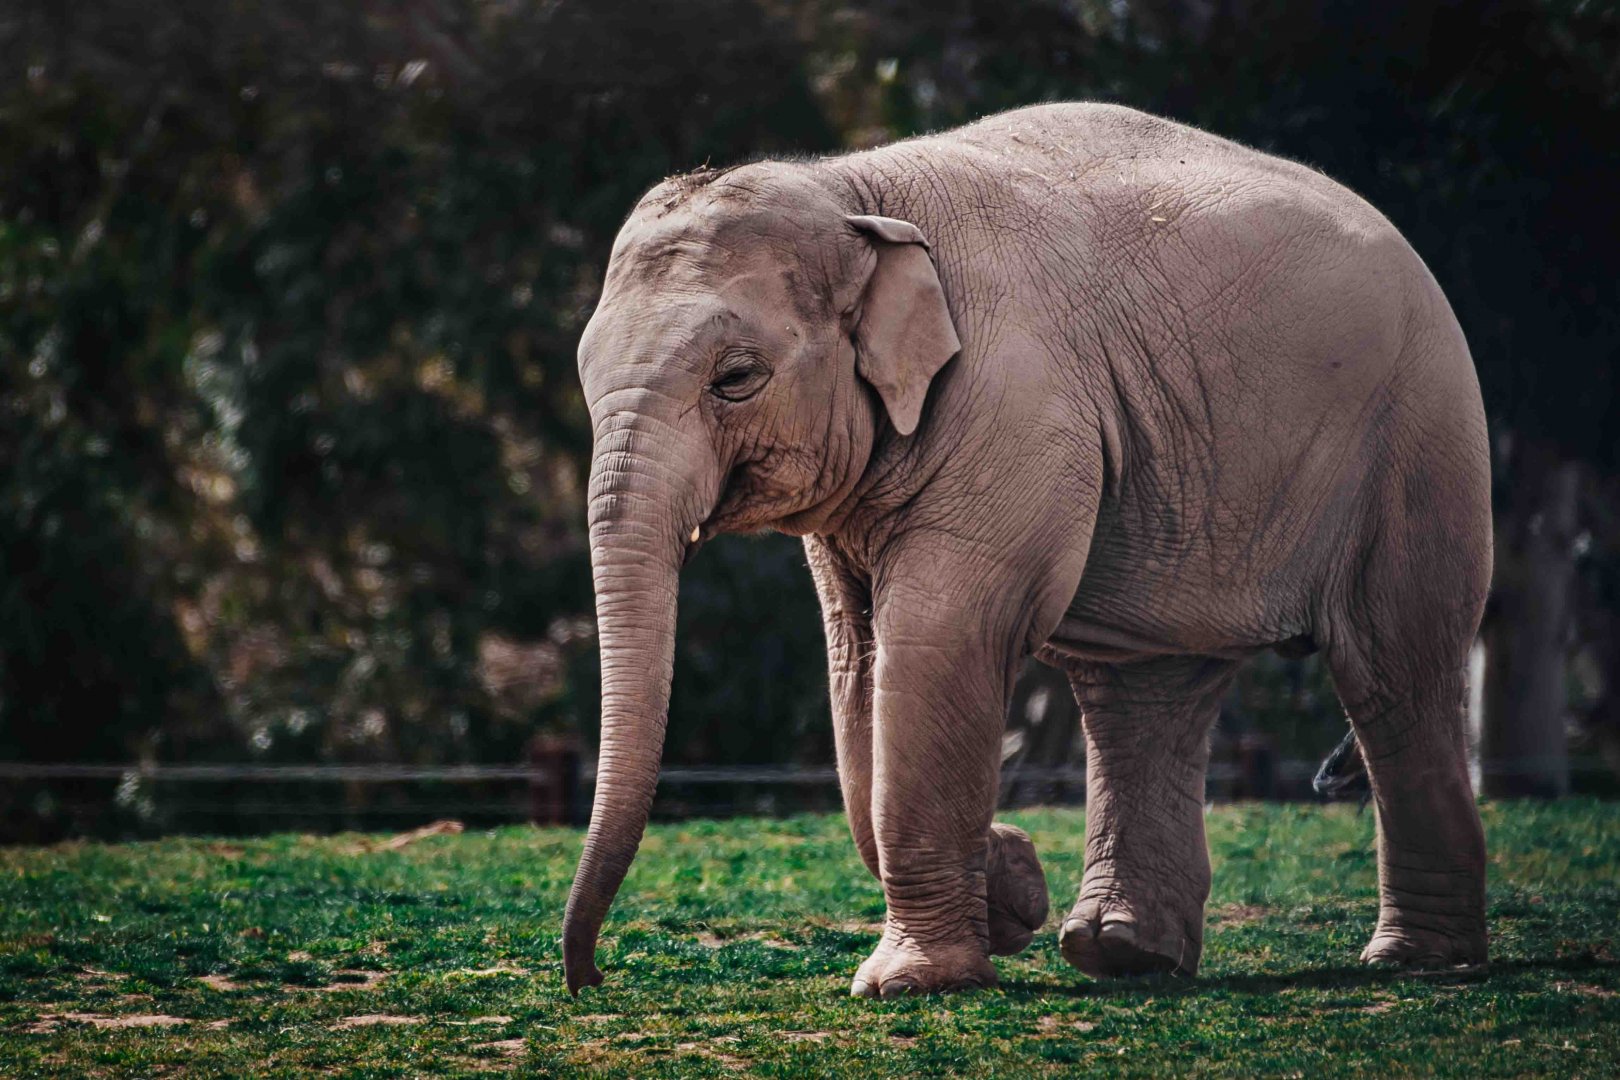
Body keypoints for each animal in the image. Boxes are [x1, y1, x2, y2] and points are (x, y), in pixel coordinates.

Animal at [563, 102, 1490, 998]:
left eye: (736, 378)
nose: (592, 978)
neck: (853, 189)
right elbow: (857, 660)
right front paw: (1011, 885)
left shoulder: (1013, 406)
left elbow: (935, 641)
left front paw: (909, 982)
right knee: (1144, 691)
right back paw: (1123, 953)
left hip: (1418, 440)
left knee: (1391, 672)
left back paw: (1412, 961)